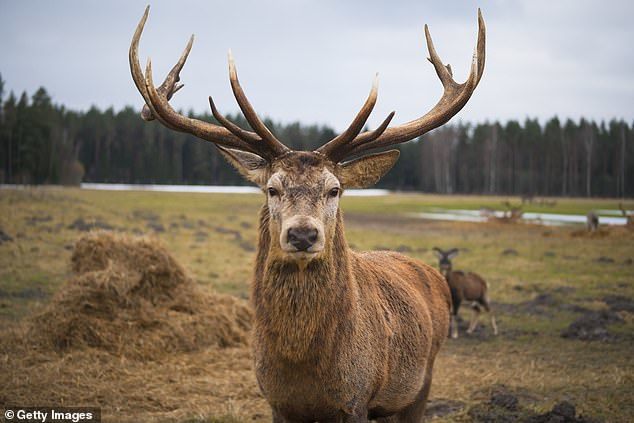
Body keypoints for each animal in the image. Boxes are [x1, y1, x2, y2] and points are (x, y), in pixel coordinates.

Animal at [127, 5, 484, 420]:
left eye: (334, 189)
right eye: (272, 188)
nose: (302, 234)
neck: (305, 369)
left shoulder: (357, 398)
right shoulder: (276, 401)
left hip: (421, 381)